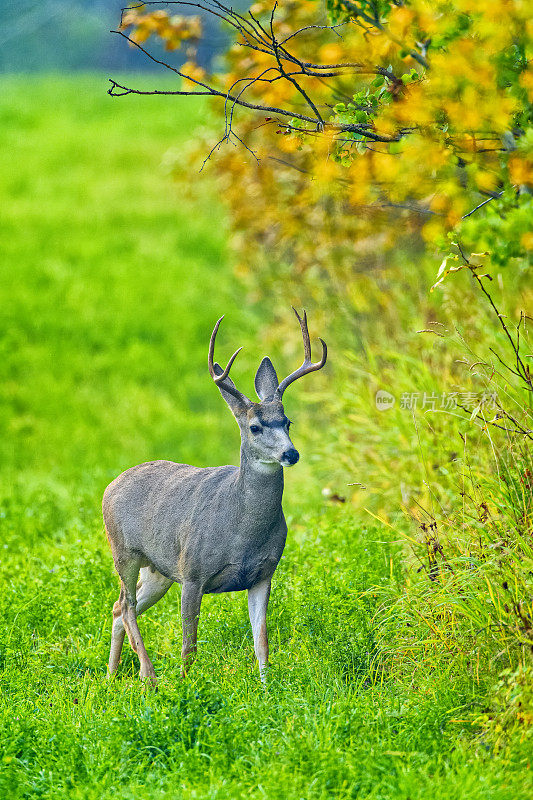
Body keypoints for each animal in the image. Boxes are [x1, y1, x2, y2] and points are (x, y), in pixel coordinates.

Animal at [100, 310, 324, 684]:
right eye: (255, 427)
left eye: (287, 422)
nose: (290, 454)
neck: (241, 529)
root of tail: (111, 484)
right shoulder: (192, 572)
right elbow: (188, 646)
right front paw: (185, 685)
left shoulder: (263, 573)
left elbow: (262, 641)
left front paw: (268, 687)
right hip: (125, 552)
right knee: (127, 605)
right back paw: (149, 676)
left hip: (158, 570)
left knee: (118, 607)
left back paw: (112, 676)